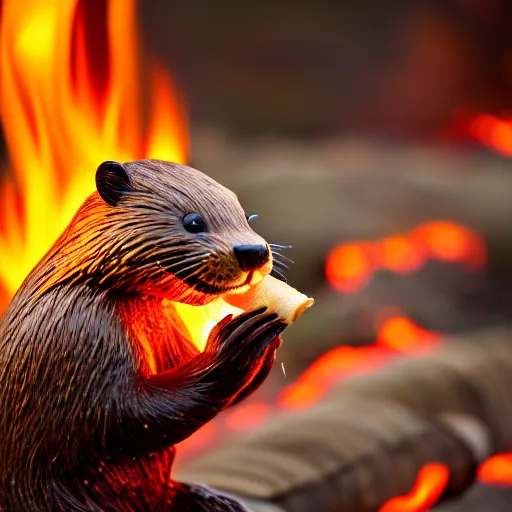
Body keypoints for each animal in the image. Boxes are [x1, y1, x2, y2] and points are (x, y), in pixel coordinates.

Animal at [0, 158, 288, 510]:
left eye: (246, 217)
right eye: (193, 221)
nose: (253, 251)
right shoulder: (76, 334)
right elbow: (123, 417)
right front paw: (240, 339)